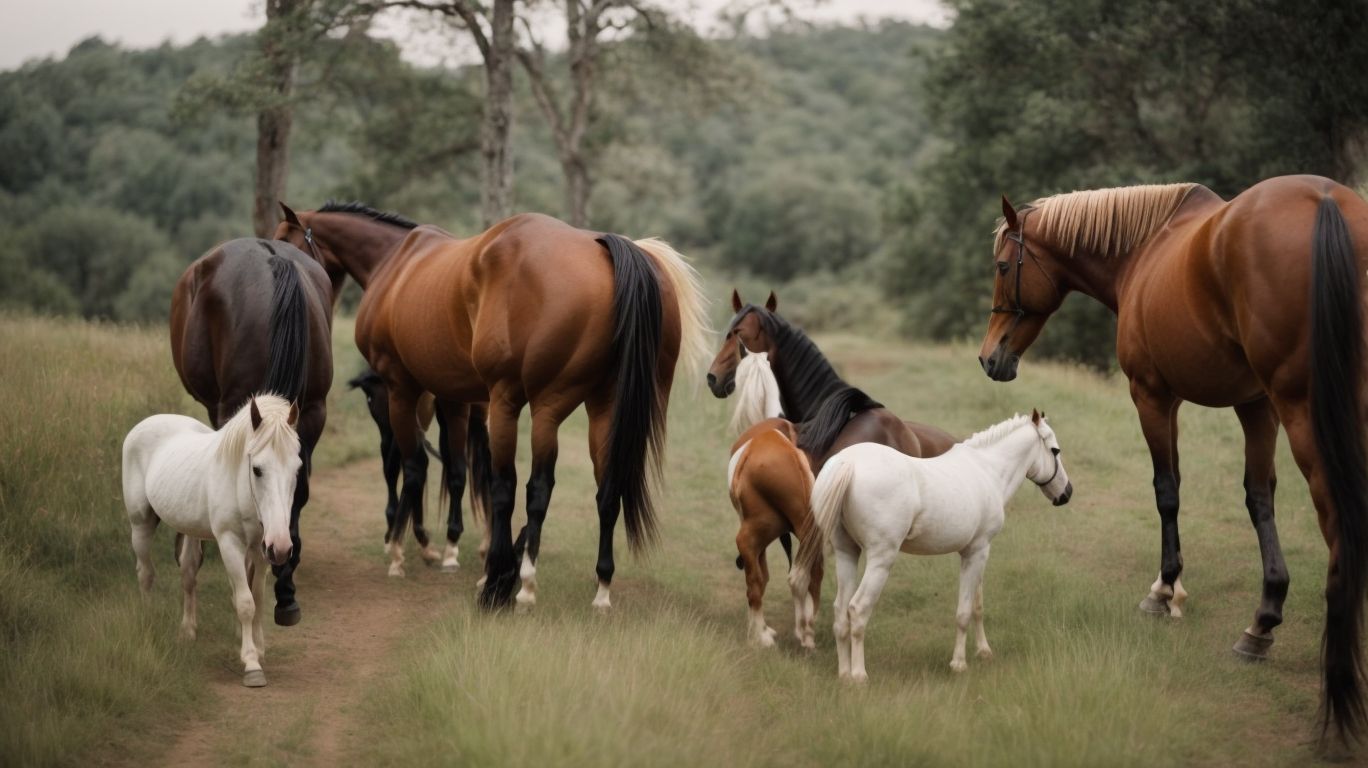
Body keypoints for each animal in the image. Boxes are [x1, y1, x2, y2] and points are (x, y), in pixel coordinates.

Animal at [122, 395, 301, 688]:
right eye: (257, 469)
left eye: (297, 469)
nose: (283, 547)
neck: (240, 486)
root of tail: (146, 423)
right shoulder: (230, 544)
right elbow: (246, 603)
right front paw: (251, 664)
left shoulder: (261, 549)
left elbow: (258, 597)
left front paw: (260, 649)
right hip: (141, 523)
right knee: (145, 573)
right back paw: (148, 621)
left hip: (191, 530)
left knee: (188, 576)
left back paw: (187, 630)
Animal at [279, 205, 711, 610]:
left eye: (286, 239)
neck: (395, 261)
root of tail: (602, 246)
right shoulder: (451, 397)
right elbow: (455, 470)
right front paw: (443, 547)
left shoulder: (399, 389)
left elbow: (414, 467)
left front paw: (404, 550)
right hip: (603, 408)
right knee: (607, 491)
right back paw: (599, 587)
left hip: (534, 406)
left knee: (526, 488)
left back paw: (516, 584)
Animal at [726, 352, 820, 648]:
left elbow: (760, 576)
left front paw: (762, 631)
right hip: (805, 530)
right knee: (809, 575)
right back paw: (806, 631)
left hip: (753, 532)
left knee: (755, 582)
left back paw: (760, 636)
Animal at [795, 410, 1071, 683]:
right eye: (1055, 450)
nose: (1066, 492)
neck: (986, 470)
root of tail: (848, 463)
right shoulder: (978, 551)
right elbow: (964, 612)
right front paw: (959, 664)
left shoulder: (973, 553)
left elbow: (977, 605)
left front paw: (984, 651)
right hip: (880, 561)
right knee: (857, 609)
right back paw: (859, 676)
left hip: (847, 553)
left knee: (841, 612)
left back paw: (844, 674)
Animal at [978, 177, 1368, 743]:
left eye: (1005, 267)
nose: (989, 358)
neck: (1141, 252)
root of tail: (1325, 202)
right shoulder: (1254, 405)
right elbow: (1259, 498)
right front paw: (1264, 616)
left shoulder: (1153, 396)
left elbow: (1167, 490)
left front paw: (1164, 592)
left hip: (1304, 412)